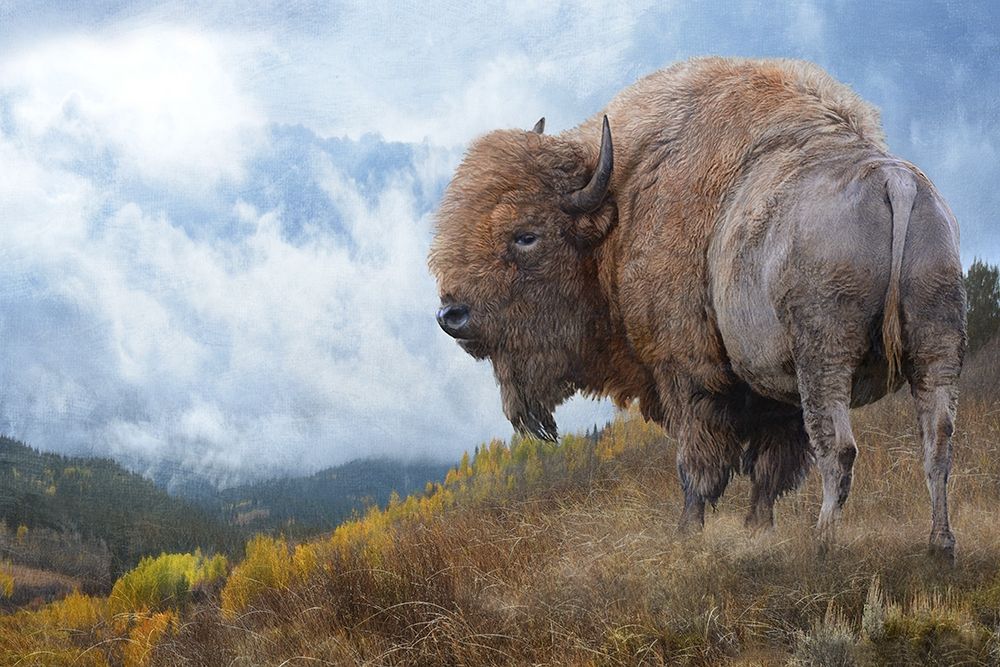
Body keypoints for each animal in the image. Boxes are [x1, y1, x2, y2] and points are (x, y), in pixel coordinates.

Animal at [428, 57, 966, 554]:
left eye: (526, 236)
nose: (452, 315)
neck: (620, 206)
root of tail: (894, 181)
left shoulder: (688, 375)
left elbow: (699, 466)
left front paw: (687, 533)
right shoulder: (773, 392)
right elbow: (767, 470)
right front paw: (757, 529)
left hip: (825, 360)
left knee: (840, 448)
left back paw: (824, 544)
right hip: (936, 346)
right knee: (937, 441)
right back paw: (940, 544)